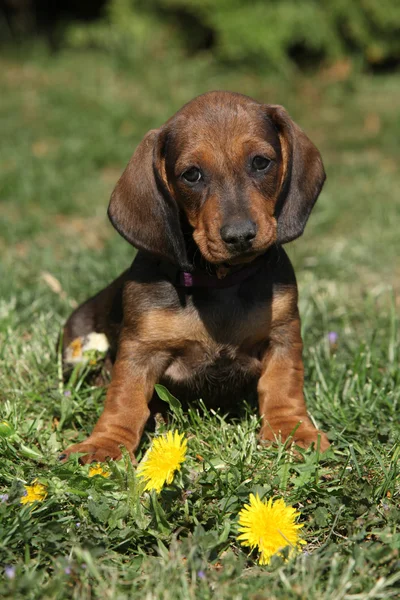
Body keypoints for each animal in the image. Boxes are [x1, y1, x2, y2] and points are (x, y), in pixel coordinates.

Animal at [61, 90, 332, 464]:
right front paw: (105, 443)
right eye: (191, 174)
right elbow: (125, 399)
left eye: (261, 162)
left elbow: (283, 384)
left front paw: (292, 430)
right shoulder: (140, 349)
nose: (239, 236)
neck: (219, 282)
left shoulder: (283, 335)